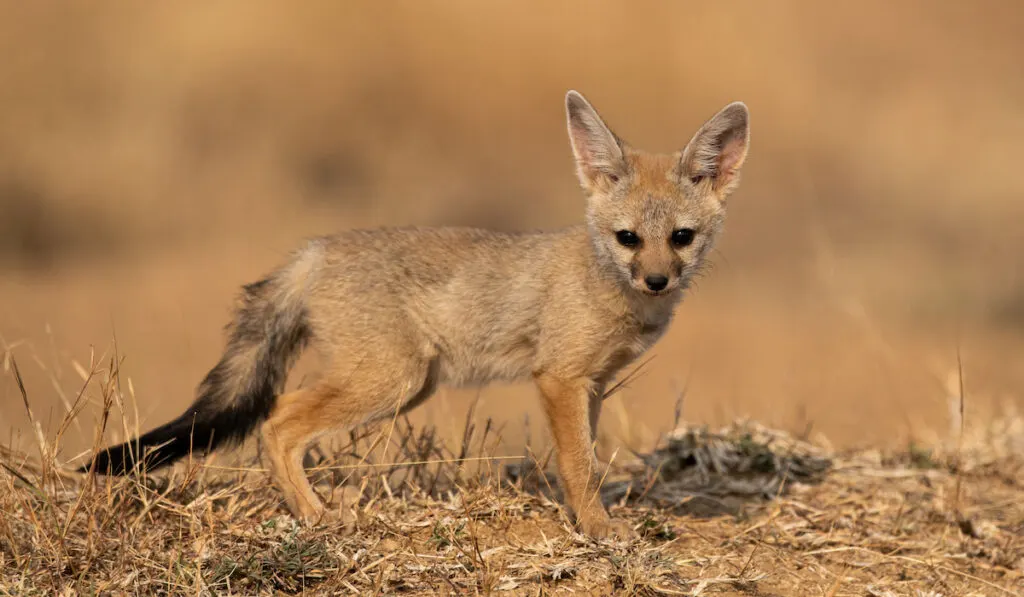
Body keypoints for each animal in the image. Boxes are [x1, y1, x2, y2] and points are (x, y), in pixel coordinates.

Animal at [81, 90, 753, 540]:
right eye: (628, 239)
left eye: (682, 238)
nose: (658, 280)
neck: (609, 287)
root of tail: (315, 249)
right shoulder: (559, 379)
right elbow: (580, 466)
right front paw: (597, 528)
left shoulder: (590, 386)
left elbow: (581, 462)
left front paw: (588, 518)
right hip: (389, 382)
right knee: (276, 420)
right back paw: (314, 513)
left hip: (408, 387)